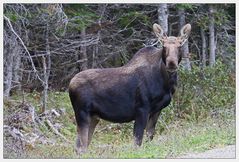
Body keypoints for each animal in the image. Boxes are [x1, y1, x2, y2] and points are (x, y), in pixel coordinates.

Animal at [68, 22, 190, 153]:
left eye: (180, 45)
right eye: (164, 46)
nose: (171, 63)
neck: (166, 84)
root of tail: (70, 84)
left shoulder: (157, 110)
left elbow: (149, 136)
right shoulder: (142, 108)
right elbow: (137, 141)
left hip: (93, 116)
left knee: (80, 146)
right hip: (82, 113)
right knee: (81, 146)